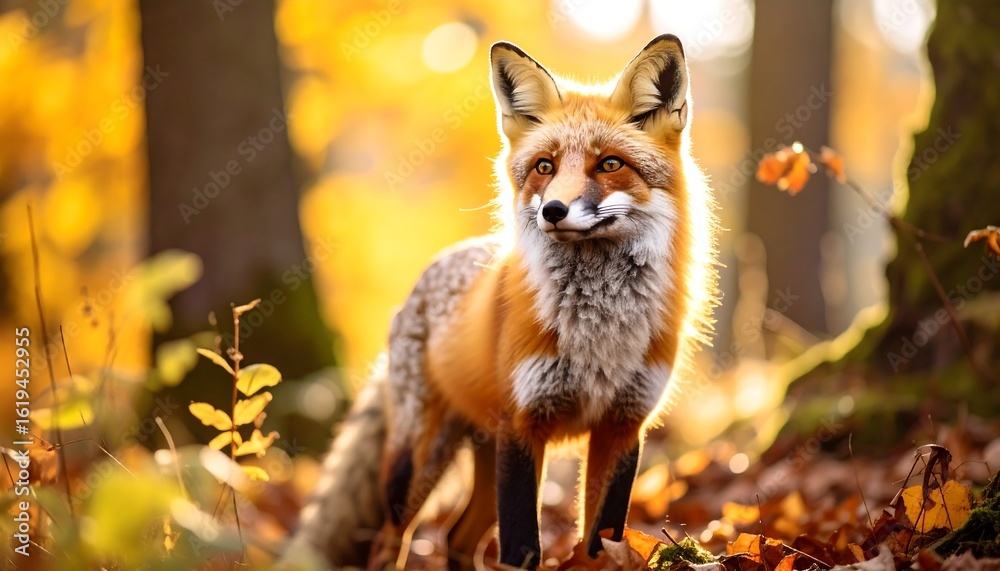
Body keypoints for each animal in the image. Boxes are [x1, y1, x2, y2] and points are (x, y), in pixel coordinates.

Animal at [285, 34, 718, 570]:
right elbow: (521, 549)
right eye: (544, 167)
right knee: (392, 540)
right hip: (421, 462)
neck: (598, 330)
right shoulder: (524, 422)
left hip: (483, 455)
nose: (553, 210)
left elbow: (600, 543)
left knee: (456, 537)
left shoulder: (622, 426)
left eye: (610, 164)